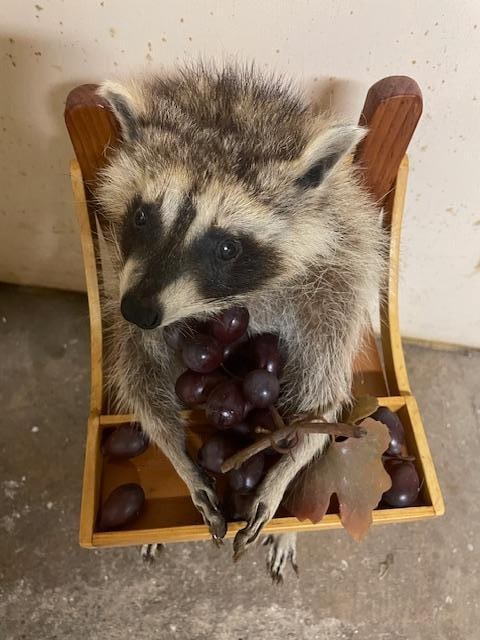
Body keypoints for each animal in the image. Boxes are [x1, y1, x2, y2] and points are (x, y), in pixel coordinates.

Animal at [96, 63, 385, 580]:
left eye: (227, 247)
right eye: (143, 216)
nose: (140, 311)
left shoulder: (340, 276)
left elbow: (323, 402)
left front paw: (284, 470)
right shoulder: (121, 274)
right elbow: (138, 373)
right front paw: (178, 456)